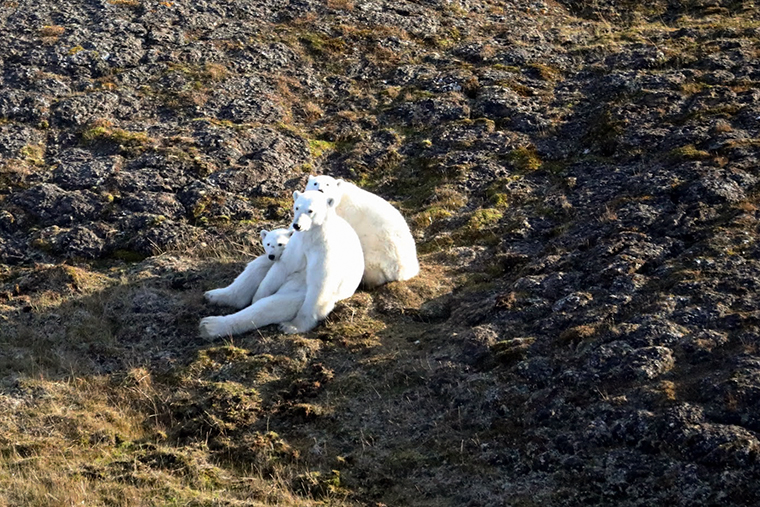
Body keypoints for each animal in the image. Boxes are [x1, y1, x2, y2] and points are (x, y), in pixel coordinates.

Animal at [276, 189, 366, 336]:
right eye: (297, 207)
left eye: (310, 210)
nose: (297, 225)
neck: (313, 237)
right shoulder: (298, 244)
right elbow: (286, 266)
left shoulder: (325, 251)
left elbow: (320, 284)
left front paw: (291, 325)